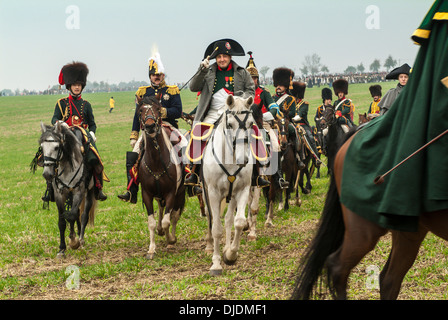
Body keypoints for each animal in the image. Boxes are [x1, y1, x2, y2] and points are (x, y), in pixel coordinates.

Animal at [136, 95, 186, 260]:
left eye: (158, 109)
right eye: (140, 110)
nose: (150, 126)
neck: (156, 162)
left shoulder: (171, 193)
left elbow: (167, 221)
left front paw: (170, 238)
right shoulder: (147, 194)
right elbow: (152, 222)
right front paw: (151, 249)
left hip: (180, 193)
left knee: (174, 216)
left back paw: (170, 238)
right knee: (161, 209)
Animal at [202, 94, 256, 276]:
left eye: (251, 124)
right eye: (230, 124)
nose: (243, 159)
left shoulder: (242, 190)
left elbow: (238, 222)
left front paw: (230, 254)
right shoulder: (213, 193)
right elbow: (216, 229)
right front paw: (216, 263)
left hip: (231, 195)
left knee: (228, 219)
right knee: (211, 218)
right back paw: (211, 247)